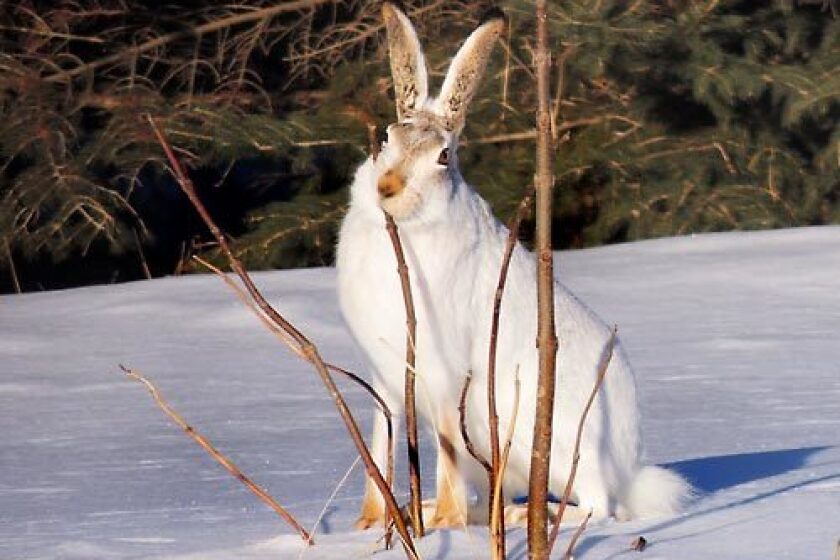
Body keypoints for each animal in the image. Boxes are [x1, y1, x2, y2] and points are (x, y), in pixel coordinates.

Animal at [336, 2, 691, 530]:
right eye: (386, 138)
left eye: (444, 156)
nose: (388, 187)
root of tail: (628, 472)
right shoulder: (385, 380)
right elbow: (381, 442)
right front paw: (371, 523)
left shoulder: (443, 376)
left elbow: (445, 448)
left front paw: (443, 523)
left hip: (541, 434)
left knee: (596, 506)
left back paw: (526, 517)